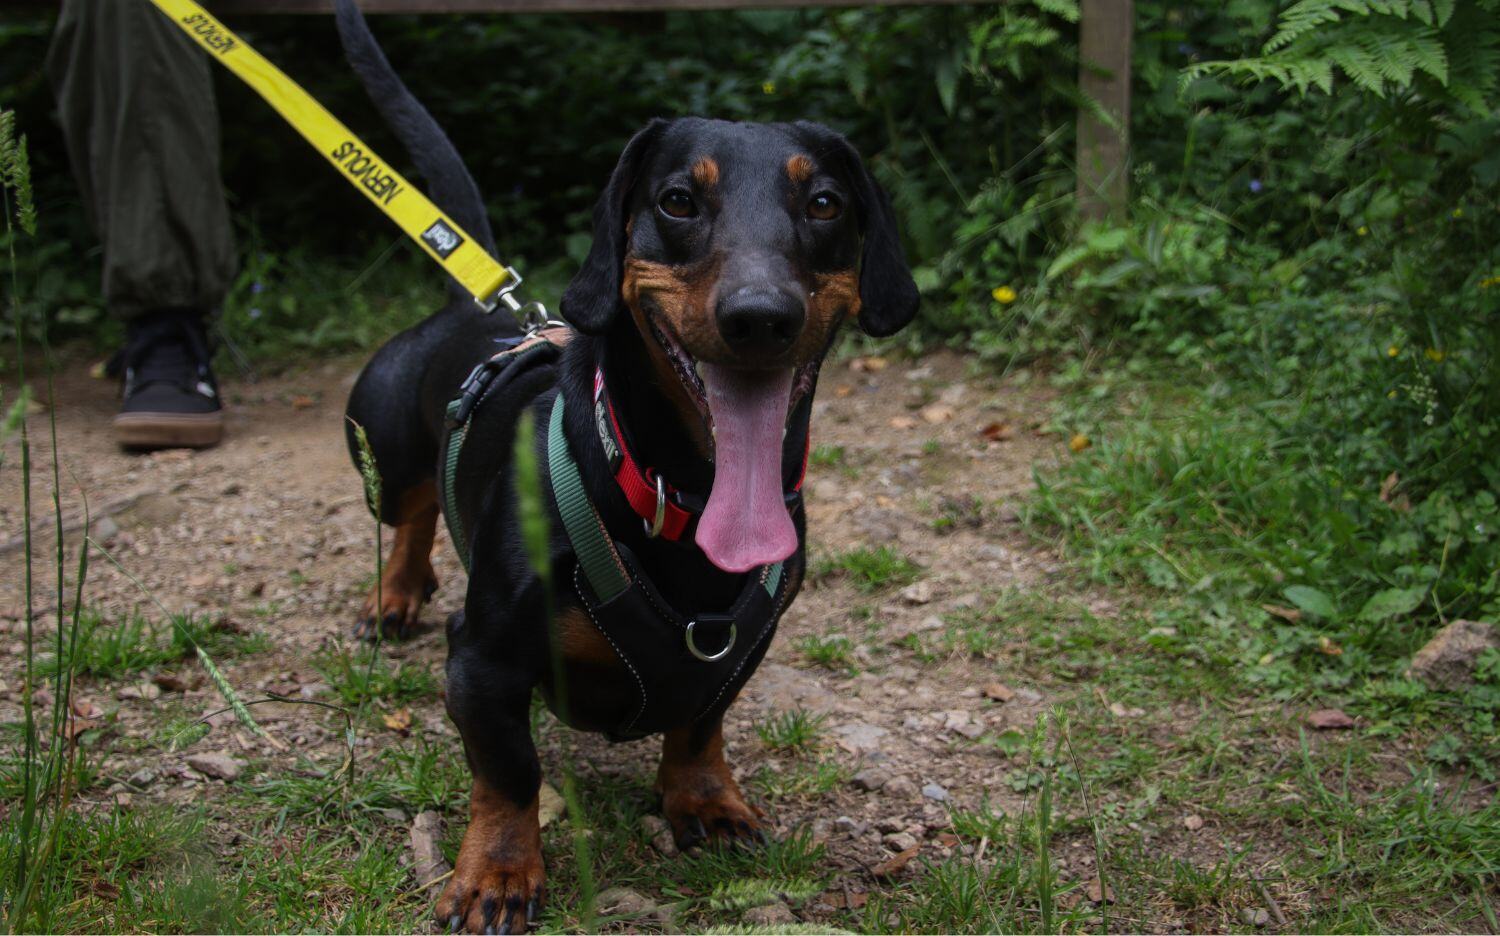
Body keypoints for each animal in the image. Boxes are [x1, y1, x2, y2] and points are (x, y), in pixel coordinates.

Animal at [337, 5, 912, 930]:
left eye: (824, 203)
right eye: (678, 200)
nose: (761, 317)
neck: (676, 496)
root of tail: (469, 305)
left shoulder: (741, 649)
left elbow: (702, 724)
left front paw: (706, 799)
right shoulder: (482, 660)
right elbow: (510, 771)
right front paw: (498, 872)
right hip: (384, 453)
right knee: (411, 510)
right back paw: (392, 595)